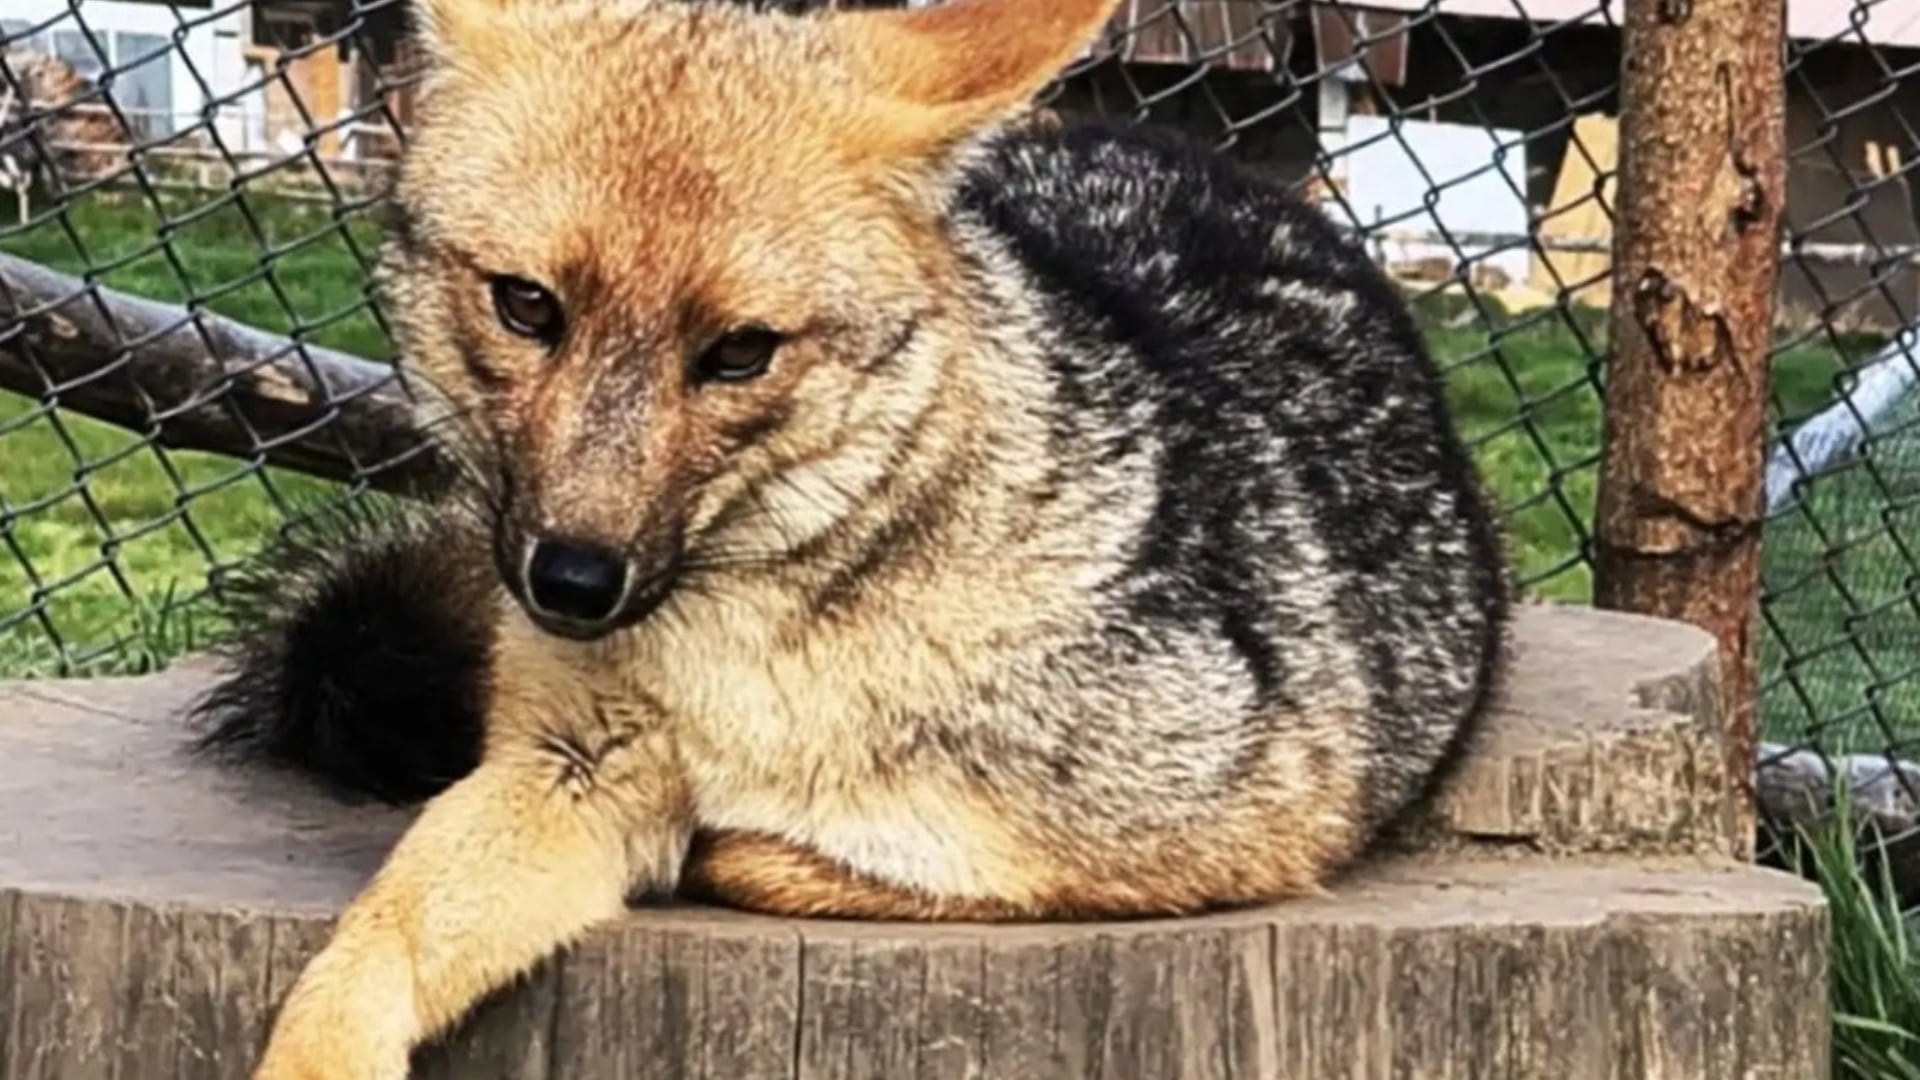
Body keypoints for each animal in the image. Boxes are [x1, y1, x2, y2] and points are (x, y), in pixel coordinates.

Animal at [186, 0, 1513, 1075]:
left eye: (739, 352)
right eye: (528, 307)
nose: (569, 582)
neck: (752, 665)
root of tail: (1187, 156)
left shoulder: (1250, 827)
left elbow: (790, 853)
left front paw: (746, 839)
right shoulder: (562, 768)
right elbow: (376, 939)